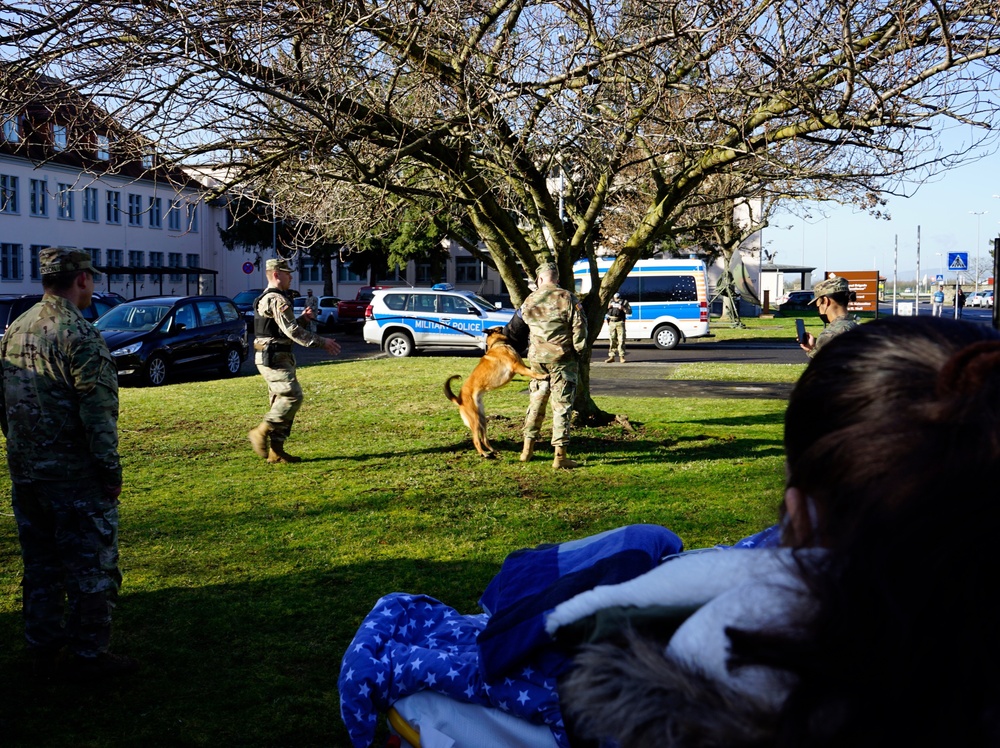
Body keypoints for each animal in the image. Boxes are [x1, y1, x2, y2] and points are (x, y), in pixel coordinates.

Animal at [446, 330, 548, 458]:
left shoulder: (522, 367)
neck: (498, 344)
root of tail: (459, 399)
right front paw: (542, 375)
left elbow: (531, 370)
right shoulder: (517, 366)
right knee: (476, 440)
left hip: (482, 419)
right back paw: (484, 453)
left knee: (484, 439)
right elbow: (532, 373)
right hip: (475, 420)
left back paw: (493, 450)